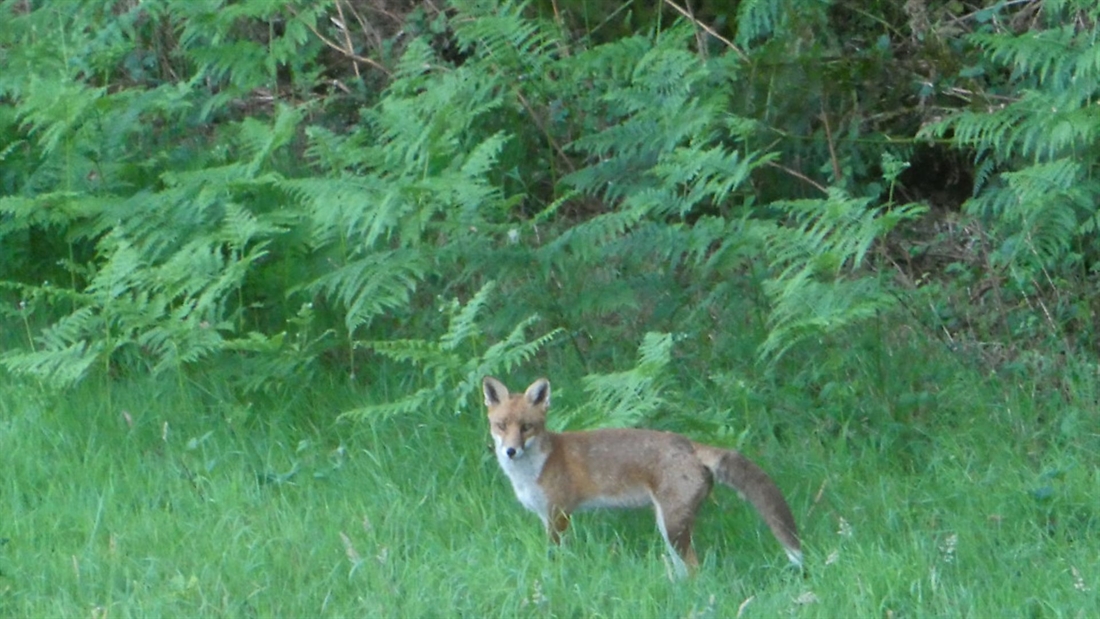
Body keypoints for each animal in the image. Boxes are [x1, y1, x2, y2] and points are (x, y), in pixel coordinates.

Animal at [481, 376, 800, 580]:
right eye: (501, 425)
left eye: (527, 427)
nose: (510, 451)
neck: (533, 469)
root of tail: (688, 443)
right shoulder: (545, 516)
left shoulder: (558, 515)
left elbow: (554, 558)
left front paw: (554, 577)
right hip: (668, 526)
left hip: (672, 526)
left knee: (695, 569)